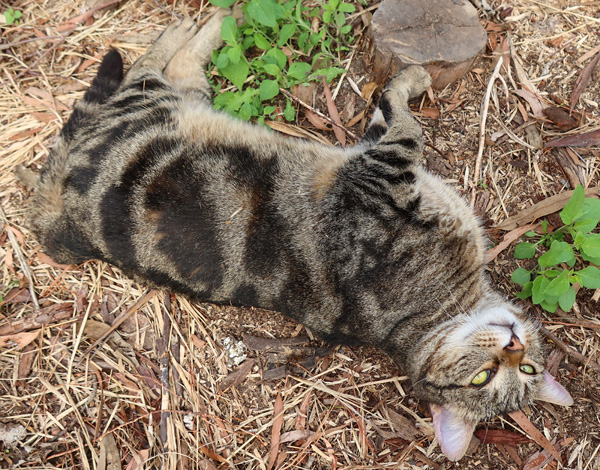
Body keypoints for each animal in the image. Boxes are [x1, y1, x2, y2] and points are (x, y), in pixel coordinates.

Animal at [28, 8, 572, 462]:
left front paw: (409, 84)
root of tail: (68, 224)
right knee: (148, 65)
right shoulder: (376, 165)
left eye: (516, 372)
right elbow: (398, 116)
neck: (435, 310)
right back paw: (204, 22)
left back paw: (206, 25)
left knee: (165, 70)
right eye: (491, 374)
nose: (514, 346)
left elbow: (395, 119)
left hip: (159, 108)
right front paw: (414, 78)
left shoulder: (374, 167)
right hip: (152, 108)